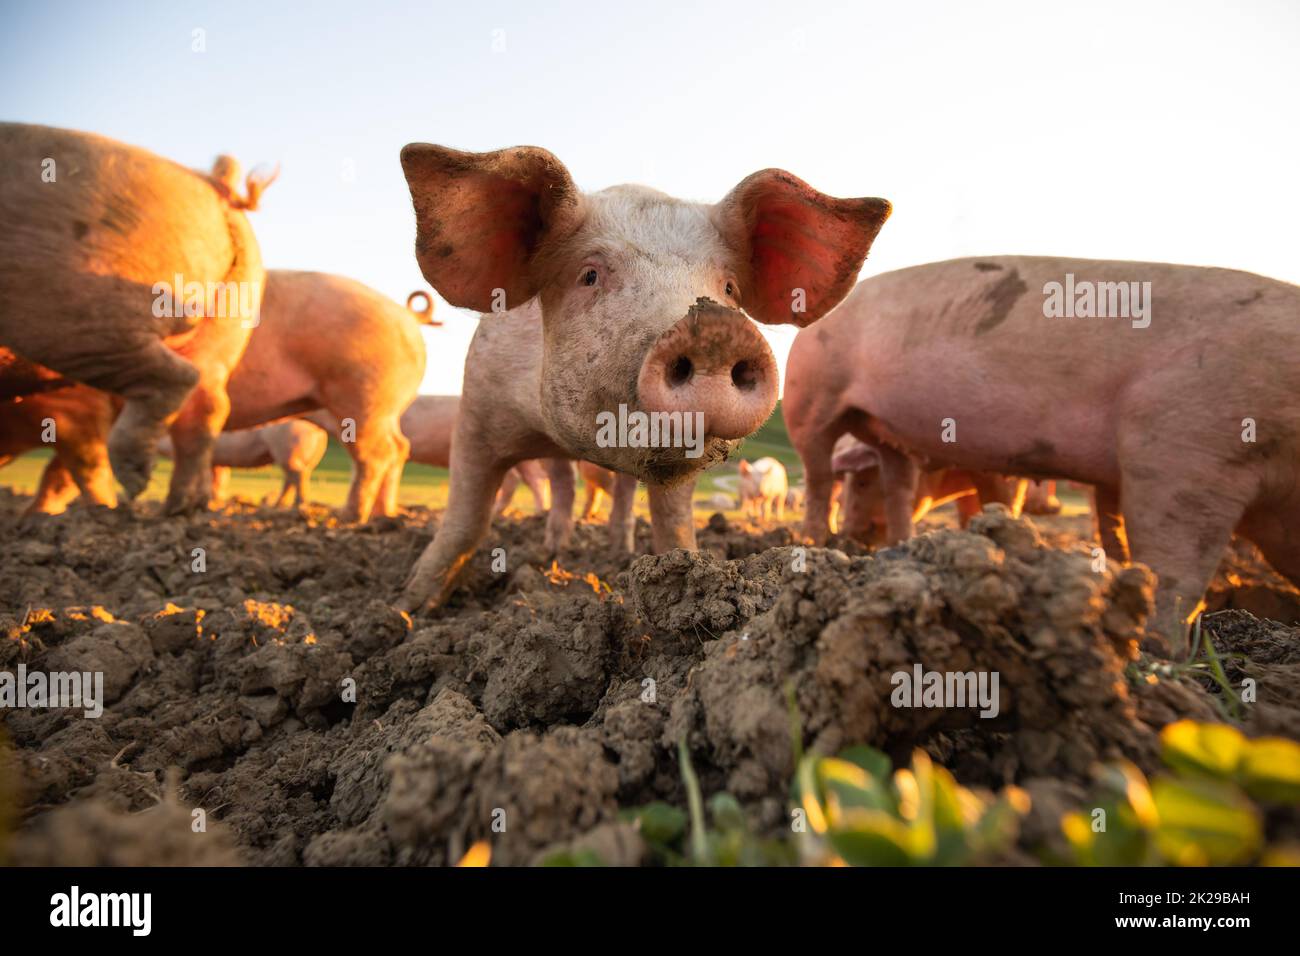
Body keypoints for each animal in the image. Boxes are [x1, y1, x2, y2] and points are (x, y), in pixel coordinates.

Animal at [157, 418, 330, 509]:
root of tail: (319, 429)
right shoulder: (218, 460)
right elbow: (220, 479)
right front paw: (218, 501)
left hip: (287, 445)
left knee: (297, 475)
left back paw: (298, 506)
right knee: (296, 476)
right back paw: (278, 506)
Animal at [220, 269, 428, 522]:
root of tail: (407, 316)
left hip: (364, 398)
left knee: (374, 455)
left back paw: (346, 516)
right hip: (385, 410)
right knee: (399, 447)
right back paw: (382, 514)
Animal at [390, 143, 889, 608]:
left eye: (729, 287)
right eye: (589, 275)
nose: (715, 329)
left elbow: (673, 521)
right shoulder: (477, 408)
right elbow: (465, 519)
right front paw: (410, 608)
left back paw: (616, 551)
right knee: (563, 488)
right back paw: (550, 554)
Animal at [780, 256, 1300, 650]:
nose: (857, 532)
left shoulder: (1127, 469)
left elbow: (1112, 526)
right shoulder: (1181, 440)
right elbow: (1174, 562)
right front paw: (1155, 650)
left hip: (885, 433)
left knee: (897, 484)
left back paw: (894, 548)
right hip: (809, 395)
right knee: (818, 475)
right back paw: (815, 543)